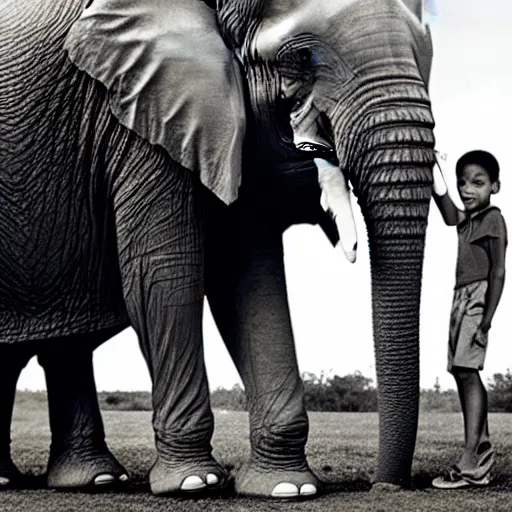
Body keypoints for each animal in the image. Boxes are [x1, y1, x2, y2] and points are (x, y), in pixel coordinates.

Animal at [0, 0, 436, 500]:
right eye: (300, 58)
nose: (384, 488)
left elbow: (248, 278)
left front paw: (285, 488)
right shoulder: (137, 113)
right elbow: (165, 273)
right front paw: (195, 482)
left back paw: (90, 479)